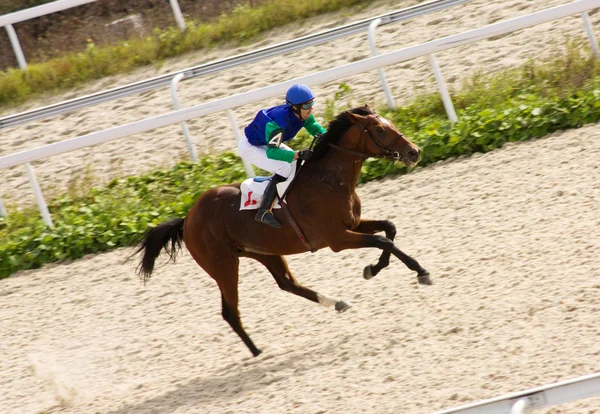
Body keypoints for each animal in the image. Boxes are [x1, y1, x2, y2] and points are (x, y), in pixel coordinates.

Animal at [136, 106, 428, 356]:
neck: (328, 181)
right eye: (379, 129)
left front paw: (377, 268)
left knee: (288, 283)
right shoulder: (338, 239)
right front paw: (418, 271)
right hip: (223, 265)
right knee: (230, 311)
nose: (414, 152)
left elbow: (389, 229)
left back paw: (335, 302)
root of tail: (188, 218)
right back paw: (258, 351)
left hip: (264, 252)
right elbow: (382, 241)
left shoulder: (352, 225)